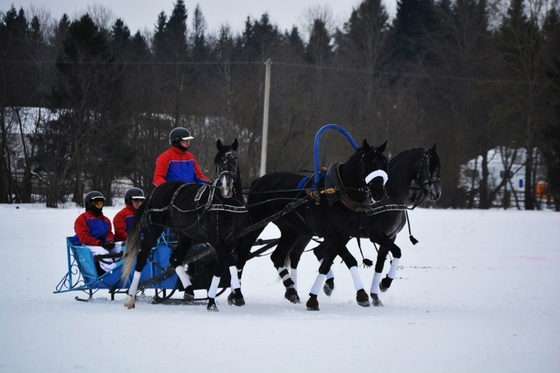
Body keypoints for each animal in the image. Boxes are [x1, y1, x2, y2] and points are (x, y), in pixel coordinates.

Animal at [123, 138, 248, 310]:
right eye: (217, 161)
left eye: (234, 160)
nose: (226, 188)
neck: (226, 203)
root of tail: (155, 192)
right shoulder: (216, 239)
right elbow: (231, 262)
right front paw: (237, 295)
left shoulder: (231, 240)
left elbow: (221, 267)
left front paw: (211, 301)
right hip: (153, 230)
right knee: (142, 259)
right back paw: (130, 298)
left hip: (185, 236)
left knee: (174, 259)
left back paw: (189, 289)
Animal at [234, 138, 388, 310]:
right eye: (369, 163)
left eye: (385, 163)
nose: (378, 192)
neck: (339, 193)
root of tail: (258, 181)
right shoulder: (331, 234)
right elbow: (349, 259)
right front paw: (362, 295)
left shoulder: (343, 236)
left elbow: (326, 265)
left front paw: (313, 297)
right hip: (256, 223)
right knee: (242, 254)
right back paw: (237, 294)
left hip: (290, 231)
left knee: (276, 256)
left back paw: (291, 290)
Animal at [310, 144, 442, 304]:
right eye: (429, 166)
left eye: (439, 166)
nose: (436, 193)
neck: (389, 199)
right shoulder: (377, 235)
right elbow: (397, 251)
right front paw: (384, 284)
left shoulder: (390, 236)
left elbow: (380, 265)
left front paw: (375, 296)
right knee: (320, 252)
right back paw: (328, 284)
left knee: (319, 251)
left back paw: (328, 285)